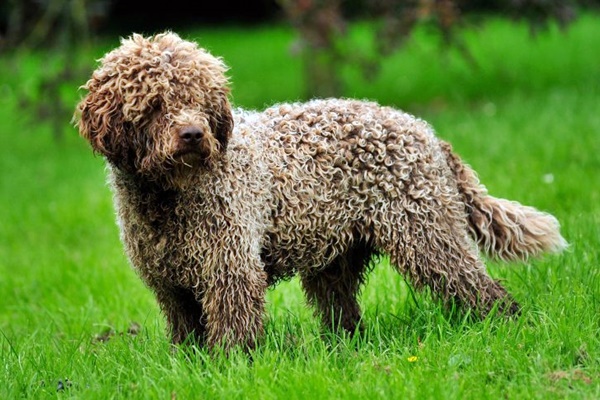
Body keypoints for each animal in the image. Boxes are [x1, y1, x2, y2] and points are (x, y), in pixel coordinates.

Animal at [74, 32, 568, 350]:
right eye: (155, 104)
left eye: (201, 99)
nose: (194, 135)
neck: (166, 197)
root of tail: (423, 131)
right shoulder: (170, 284)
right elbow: (186, 334)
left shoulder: (229, 269)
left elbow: (233, 333)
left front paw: (232, 367)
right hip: (337, 259)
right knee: (344, 313)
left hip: (426, 233)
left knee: (477, 286)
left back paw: (506, 325)